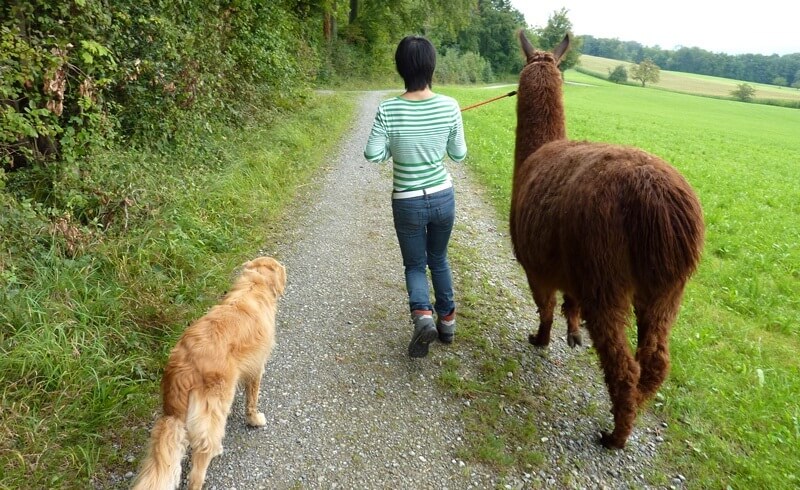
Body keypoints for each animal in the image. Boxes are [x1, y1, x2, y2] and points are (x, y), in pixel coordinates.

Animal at [134, 255, 288, 488]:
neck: (254, 285)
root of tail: (184, 364)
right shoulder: (257, 368)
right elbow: (252, 400)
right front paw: (255, 420)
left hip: (172, 418)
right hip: (212, 409)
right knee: (198, 466)